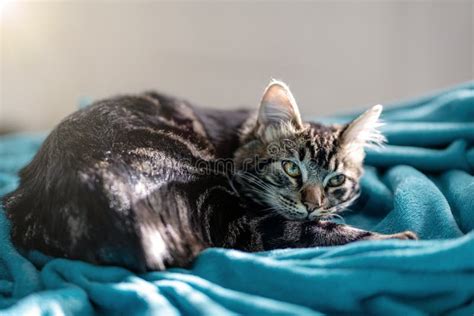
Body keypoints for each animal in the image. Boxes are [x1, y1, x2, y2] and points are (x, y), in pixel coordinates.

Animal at [2, 79, 418, 272]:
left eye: (336, 181)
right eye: (290, 168)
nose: (313, 205)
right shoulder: (245, 223)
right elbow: (326, 232)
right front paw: (403, 238)